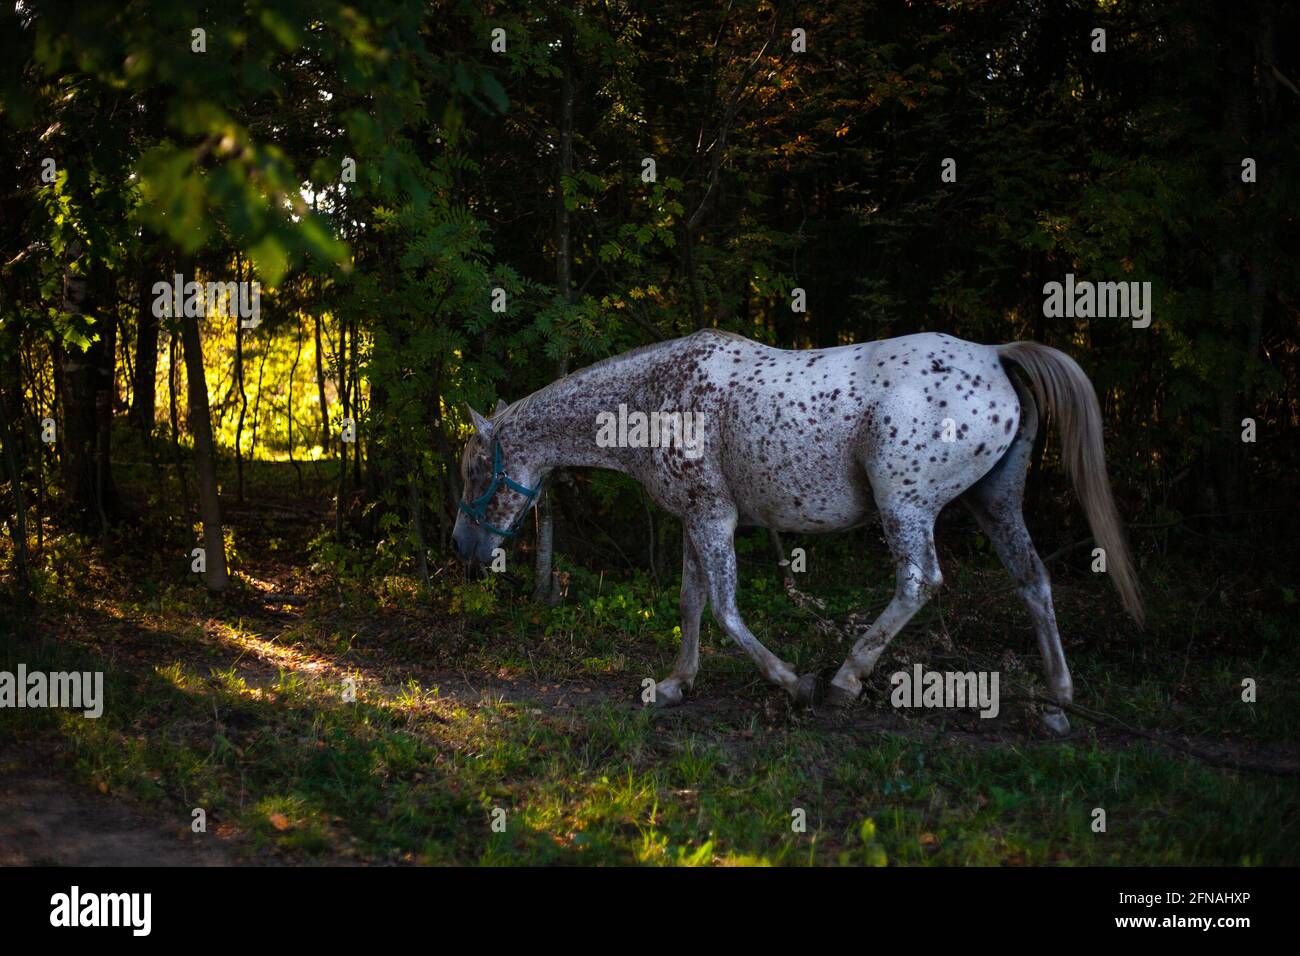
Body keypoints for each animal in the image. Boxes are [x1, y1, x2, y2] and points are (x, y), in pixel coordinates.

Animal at [452, 329, 1144, 733]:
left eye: (474, 470)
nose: (462, 547)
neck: (654, 397)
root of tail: (996, 357)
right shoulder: (695, 518)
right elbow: (691, 602)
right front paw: (676, 684)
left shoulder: (714, 517)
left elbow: (726, 610)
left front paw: (793, 682)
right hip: (993, 503)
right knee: (1034, 581)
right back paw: (1056, 704)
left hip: (906, 504)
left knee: (920, 582)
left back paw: (843, 681)